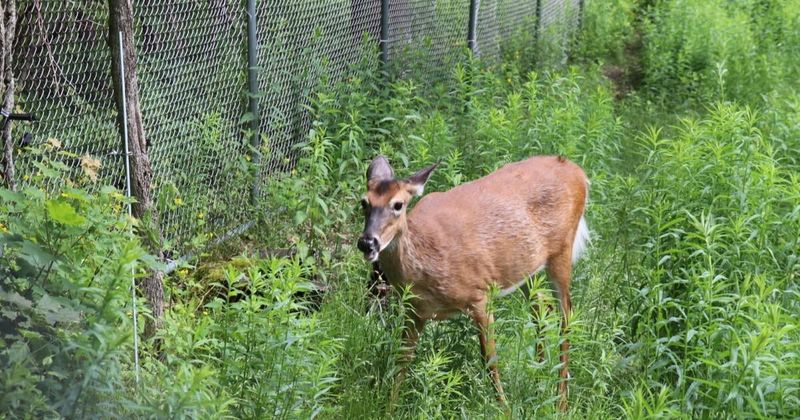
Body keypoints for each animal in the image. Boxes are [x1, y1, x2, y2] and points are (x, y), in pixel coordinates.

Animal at [356, 155, 590, 411]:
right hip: (526, 267)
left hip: (562, 251)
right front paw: (390, 408)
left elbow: (489, 360)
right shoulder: (414, 311)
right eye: (364, 202)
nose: (367, 243)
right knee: (541, 305)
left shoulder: (480, 295)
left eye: (398, 205)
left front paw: (504, 410)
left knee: (567, 316)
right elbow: (402, 360)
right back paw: (539, 377)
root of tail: (577, 172)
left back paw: (561, 402)